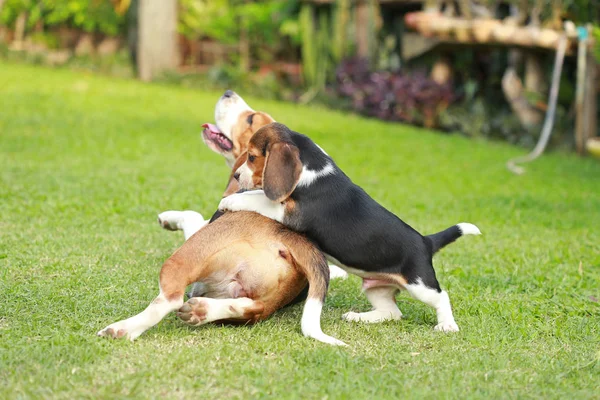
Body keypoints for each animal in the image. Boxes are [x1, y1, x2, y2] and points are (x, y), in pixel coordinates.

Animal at [98, 92, 342, 346]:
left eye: (251, 119)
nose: (228, 93)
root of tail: (289, 238)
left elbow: (192, 215)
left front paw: (167, 218)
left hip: (186, 257)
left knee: (170, 298)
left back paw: (122, 329)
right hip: (257, 304)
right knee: (250, 308)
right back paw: (202, 310)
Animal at [218, 123, 480, 332]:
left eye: (252, 157)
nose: (237, 175)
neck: (312, 167)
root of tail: (426, 241)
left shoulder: (291, 213)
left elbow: (258, 200)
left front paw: (230, 202)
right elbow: (256, 194)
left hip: (419, 284)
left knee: (441, 297)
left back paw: (447, 325)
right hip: (377, 287)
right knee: (393, 313)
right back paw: (358, 317)